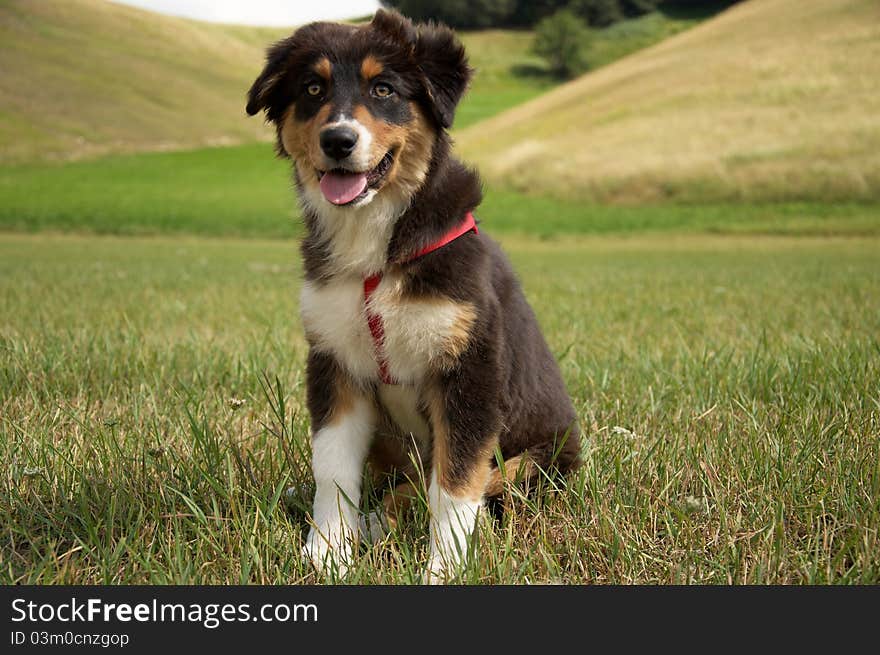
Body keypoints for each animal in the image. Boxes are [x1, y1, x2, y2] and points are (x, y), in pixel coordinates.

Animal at [244, 9, 580, 584]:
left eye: (384, 89)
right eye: (312, 89)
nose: (338, 140)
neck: (375, 250)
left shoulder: (469, 371)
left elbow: (456, 485)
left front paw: (444, 569)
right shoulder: (335, 363)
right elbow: (333, 472)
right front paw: (327, 554)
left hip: (542, 456)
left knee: (469, 484)